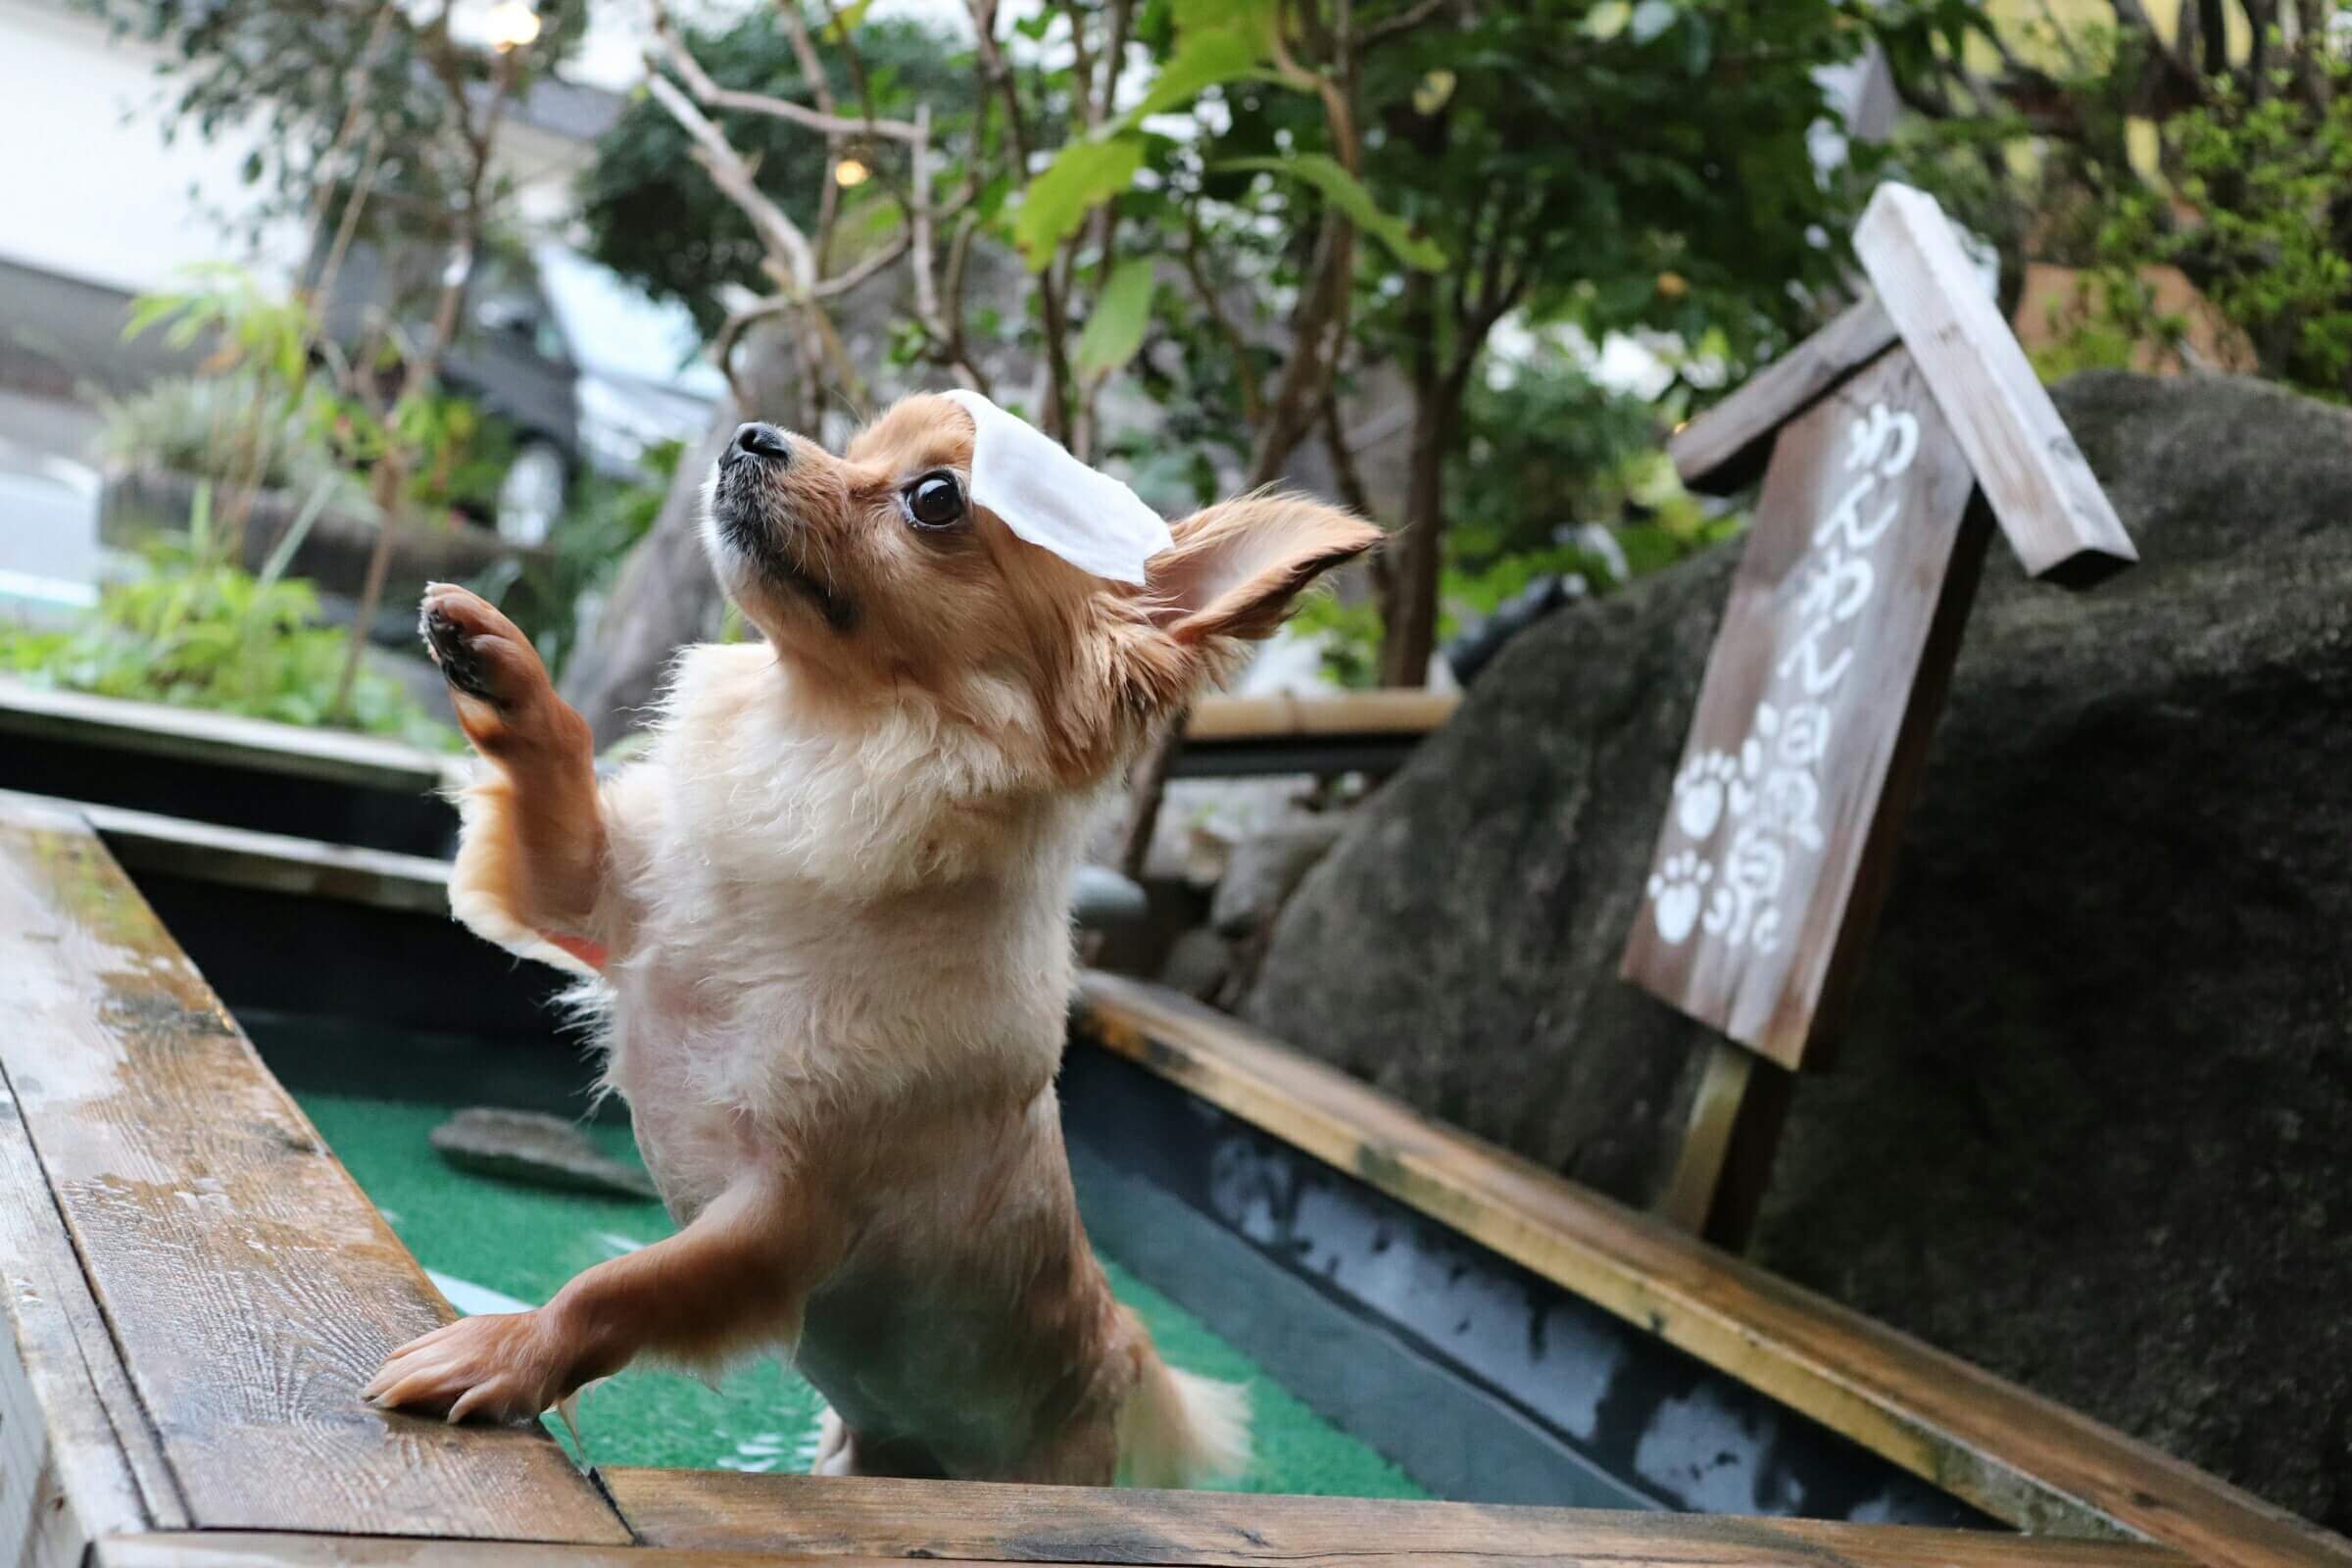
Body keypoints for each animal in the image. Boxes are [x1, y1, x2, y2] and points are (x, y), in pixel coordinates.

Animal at [365, 390, 1373, 1486]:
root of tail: (1118, 1347)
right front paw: (498, 664)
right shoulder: (593, 903)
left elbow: (620, 1287)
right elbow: (565, 781)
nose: (755, 435)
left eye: (935, 499)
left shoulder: (784, 1215)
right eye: (854, 446)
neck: (831, 752)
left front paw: (506, 1352)